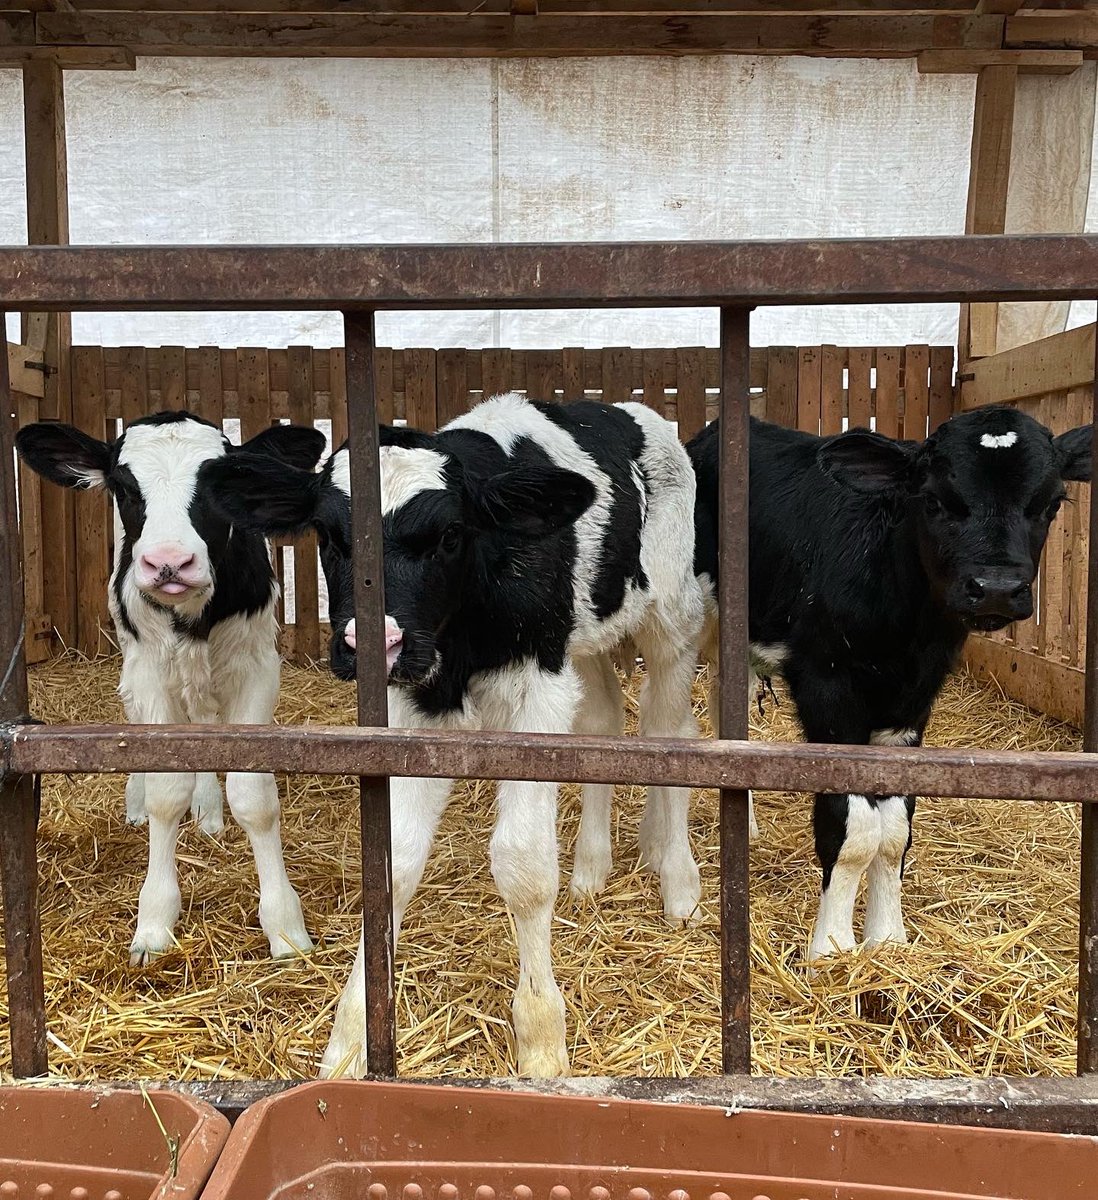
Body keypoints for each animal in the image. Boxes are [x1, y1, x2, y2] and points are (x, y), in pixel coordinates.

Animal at [16, 412, 326, 965]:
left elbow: (254, 795)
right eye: (123, 485)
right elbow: (166, 788)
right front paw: (155, 921)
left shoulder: (257, 666)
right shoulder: (149, 670)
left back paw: (208, 810)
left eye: (219, 483)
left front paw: (285, 927)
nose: (169, 562)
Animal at [205, 392, 706, 1076]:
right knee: (604, 717)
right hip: (582, 641)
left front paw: (542, 1040)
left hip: (671, 615)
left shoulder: (535, 691)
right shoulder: (416, 705)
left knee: (668, 727)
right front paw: (350, 1041)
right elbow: (392, 863)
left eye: (447, 537)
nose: (374, 643)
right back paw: (591, 870)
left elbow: (523, 866)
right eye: (330, 536)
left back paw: (678, 881)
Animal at [687, 404, 1092, 963]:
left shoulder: (912, 701)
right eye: (934, 499)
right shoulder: (826, 683)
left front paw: (887, 936)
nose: (995, 588)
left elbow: (895, 830)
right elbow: (853, 829)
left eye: (1050, 503)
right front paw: (833, 945)